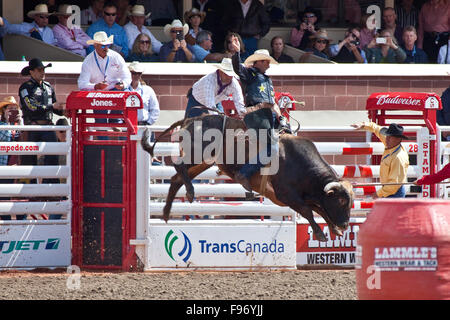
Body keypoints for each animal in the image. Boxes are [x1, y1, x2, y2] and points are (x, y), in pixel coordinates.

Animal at [142, 114, 354, 241]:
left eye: (351, 202)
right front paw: (320, 233)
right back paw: (191, 192)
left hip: (204, 162)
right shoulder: (286, 195)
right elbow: (308, 211)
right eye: (341, 201)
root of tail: (192, 119)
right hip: (196, 155)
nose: (345, 224)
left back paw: (167, 212)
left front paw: (333, 229)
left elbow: (320, 209)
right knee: (179, 167)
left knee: (176, 179)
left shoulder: (307, 196)